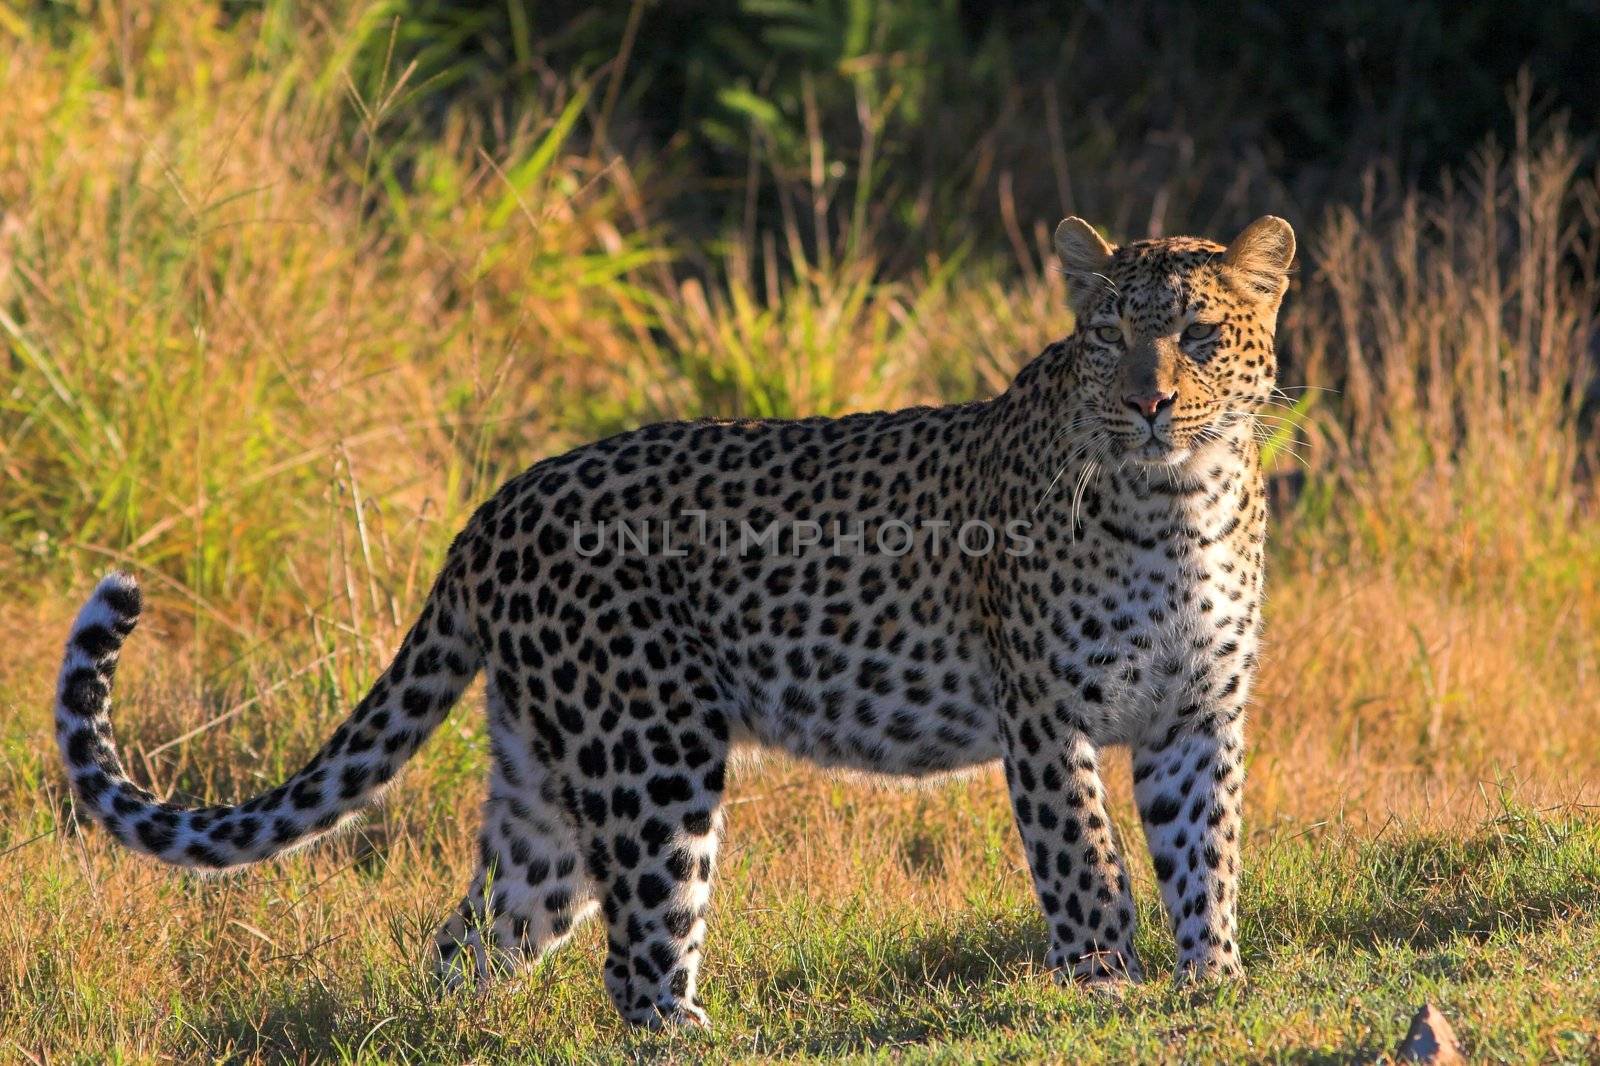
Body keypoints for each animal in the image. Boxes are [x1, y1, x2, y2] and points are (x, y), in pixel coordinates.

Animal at [53, 214, 1299, 1024]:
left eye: (1195, 336)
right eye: (1108, 338)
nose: (1149, 401)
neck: (1177, 501)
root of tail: (499, 504)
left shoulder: (1196, 712)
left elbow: (1205, 850)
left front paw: (1213, 979)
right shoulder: (1044, 713)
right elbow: (1083, 857)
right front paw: (1104, 986)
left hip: (548, 785)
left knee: (475, 939)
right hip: (647, 752)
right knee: (639, 962)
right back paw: (697, 1035)